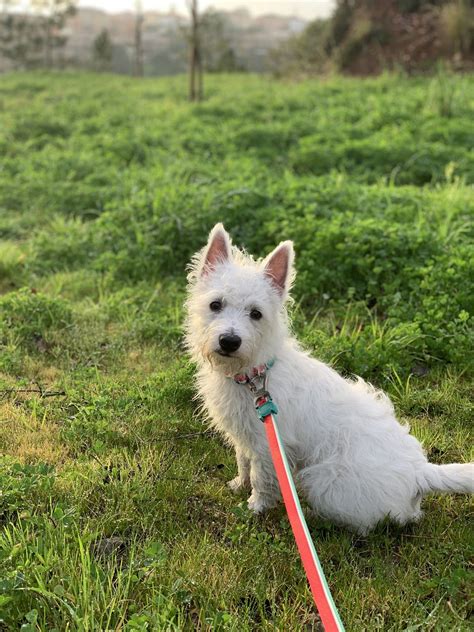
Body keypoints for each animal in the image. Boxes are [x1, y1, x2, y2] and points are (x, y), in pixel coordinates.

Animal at [185, 223, 474, 532]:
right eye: (215, 305)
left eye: (256, 314)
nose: (229, 341)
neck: (255, 374)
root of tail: (419, 472)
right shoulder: (246, 436)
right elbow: (243, 462)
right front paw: (239, 485)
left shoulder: (268, 447)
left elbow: (262, 480)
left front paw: (254, 507)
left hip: (325, 481)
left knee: (363, 524)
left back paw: (314, 517)